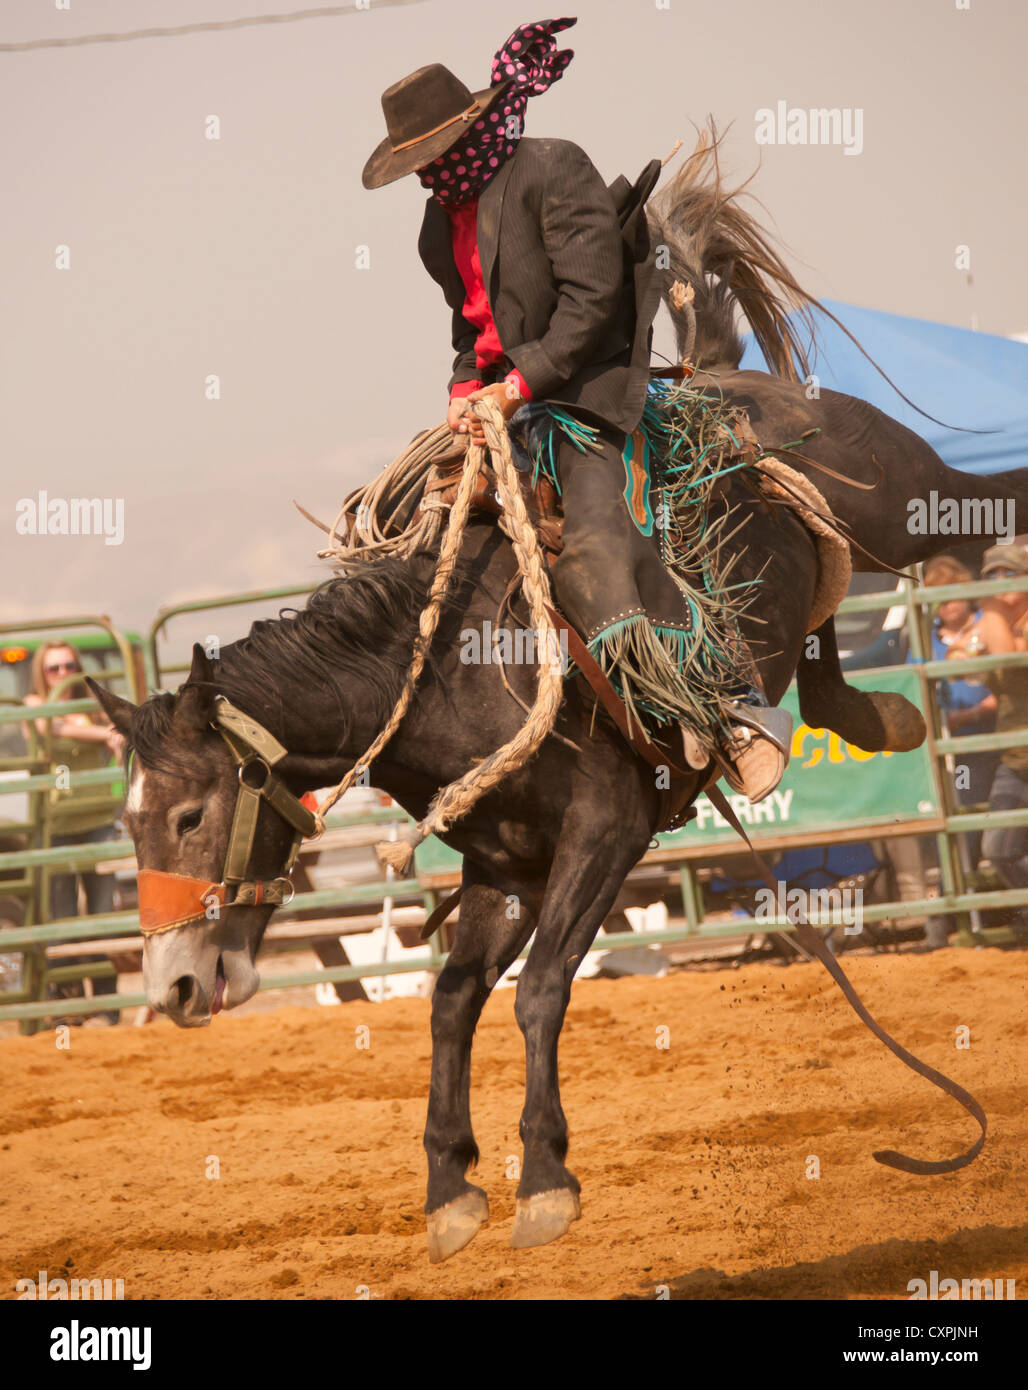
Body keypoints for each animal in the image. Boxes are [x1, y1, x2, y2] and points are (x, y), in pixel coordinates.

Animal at [92, 138, 1022, 1262]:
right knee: (819, 622)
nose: (173, 987)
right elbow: (451, 1003)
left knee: (984, 503)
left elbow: (538, 991)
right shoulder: (505, 868)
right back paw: (863, 715)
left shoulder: (605, 830)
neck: (449, 673)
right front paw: (450, 1185)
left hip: (906, 494)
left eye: (191, 815)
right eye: (130, 825)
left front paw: (542, 1178)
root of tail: (727, 380)